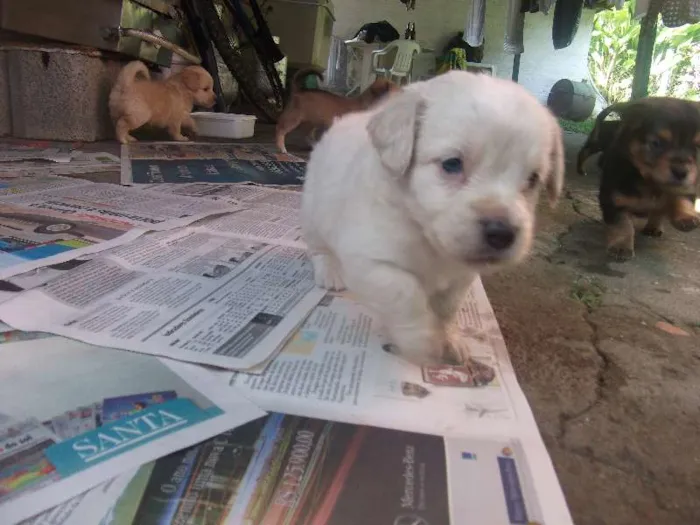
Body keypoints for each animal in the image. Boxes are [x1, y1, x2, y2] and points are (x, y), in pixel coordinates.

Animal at [300, 69, 564, 364]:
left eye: (533, 179)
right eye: (452, 164)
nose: (502, 233)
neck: (429, 239)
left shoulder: (461, 276)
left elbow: (447, 308)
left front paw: (449, 340)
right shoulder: (370, 260)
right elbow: (405, 293)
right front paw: (423, 342)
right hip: (313, 211)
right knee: (318, 248)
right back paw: (329, 271)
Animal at [592, 96, 700, 260]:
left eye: (699, 148)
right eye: (656, 143)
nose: (681, 172)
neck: (651, 184)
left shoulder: (687, 185)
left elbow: (682, 197)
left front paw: (686, 216)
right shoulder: (613, 197)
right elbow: (622, 223)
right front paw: (621, 246)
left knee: (658, 212)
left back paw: (654, 226)